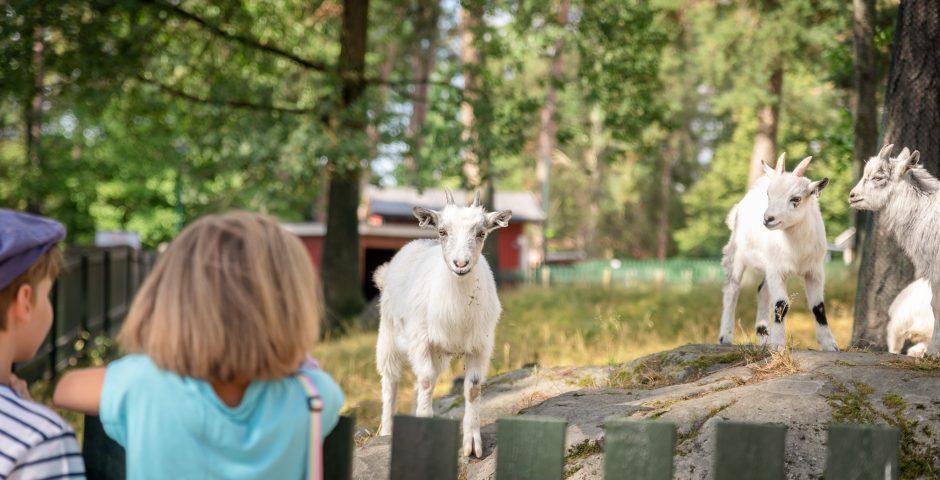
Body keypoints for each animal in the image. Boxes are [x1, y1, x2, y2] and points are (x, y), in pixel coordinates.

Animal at [370, 190, 510, 458]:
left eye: (482, 233)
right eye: (443, 231)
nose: (460, 264)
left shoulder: (480, 345)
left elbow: (472, 389)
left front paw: (472, 445)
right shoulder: (420, 341)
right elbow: (425, 381)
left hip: (439, 354)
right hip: (388, 335)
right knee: (391, 381)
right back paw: (386, 430)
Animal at [720, 152, 836, 350]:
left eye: (796, 199)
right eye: (769, 194)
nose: (768, 219)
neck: (795, 250)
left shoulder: (814, 271)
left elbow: (818, 306)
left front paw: (830, 344)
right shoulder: (777, 270)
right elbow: (781, 304)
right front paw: (778, 344)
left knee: (762, 290)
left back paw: (763, 336)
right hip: (737, 252)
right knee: (732, 289)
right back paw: (725, 336)